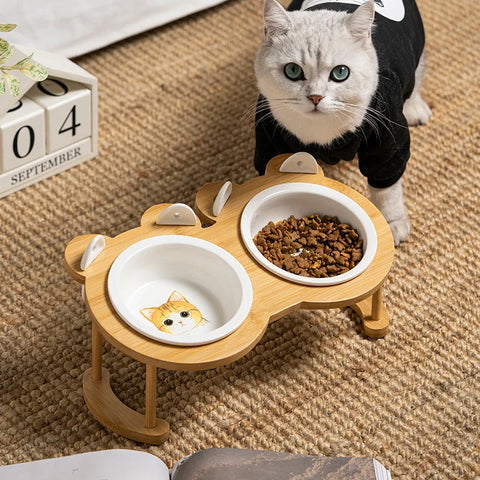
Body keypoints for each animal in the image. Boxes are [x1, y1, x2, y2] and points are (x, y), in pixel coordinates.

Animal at [255, 0, 432, 244]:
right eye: (292, 70)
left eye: (340, 73)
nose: (315, 97)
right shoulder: (270, 137)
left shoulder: (387, 140)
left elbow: (386, 188)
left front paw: (392, 222)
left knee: (415, 78)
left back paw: (415, 107)